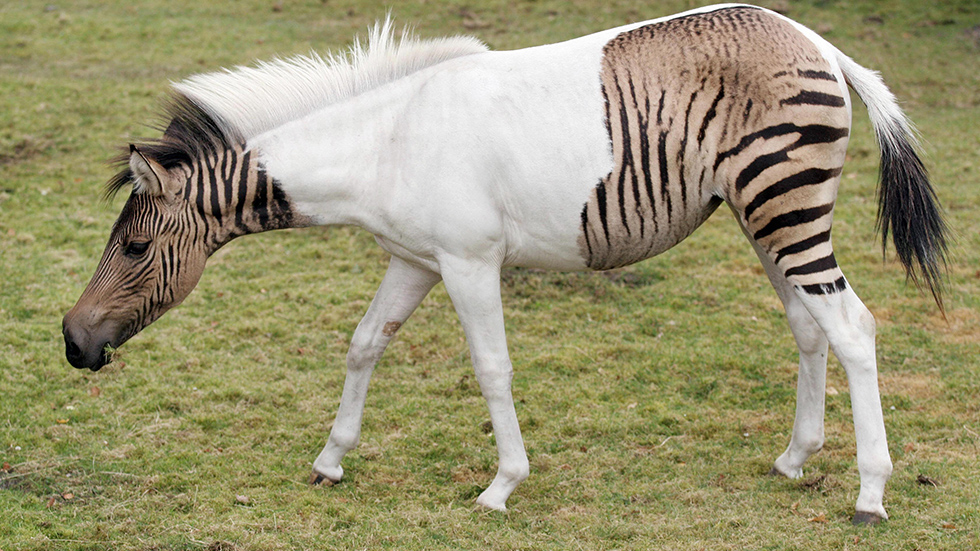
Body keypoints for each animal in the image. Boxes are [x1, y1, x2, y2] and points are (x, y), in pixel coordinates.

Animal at [59, 3, 940, 528]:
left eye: (134, 248)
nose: (70, 341)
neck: (386, 144)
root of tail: (816, 40)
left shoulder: (469, 261)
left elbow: (492, 367)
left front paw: (501, 484)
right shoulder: (413, 259)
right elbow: (364, 344)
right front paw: (331, 458)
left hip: (784, 207)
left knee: (853, 326)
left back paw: (870, 491)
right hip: (762, 215)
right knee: (807, 324)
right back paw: (795, 457)